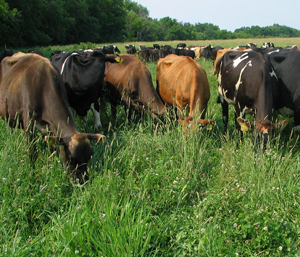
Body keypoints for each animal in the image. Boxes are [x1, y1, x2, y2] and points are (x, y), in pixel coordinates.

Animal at [0, 52, 105, 183]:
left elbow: (51, 147)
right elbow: (32, 152)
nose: (82, 182)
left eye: (90, 155)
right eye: (71, 159)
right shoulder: (28, 124)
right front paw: (32, 174)